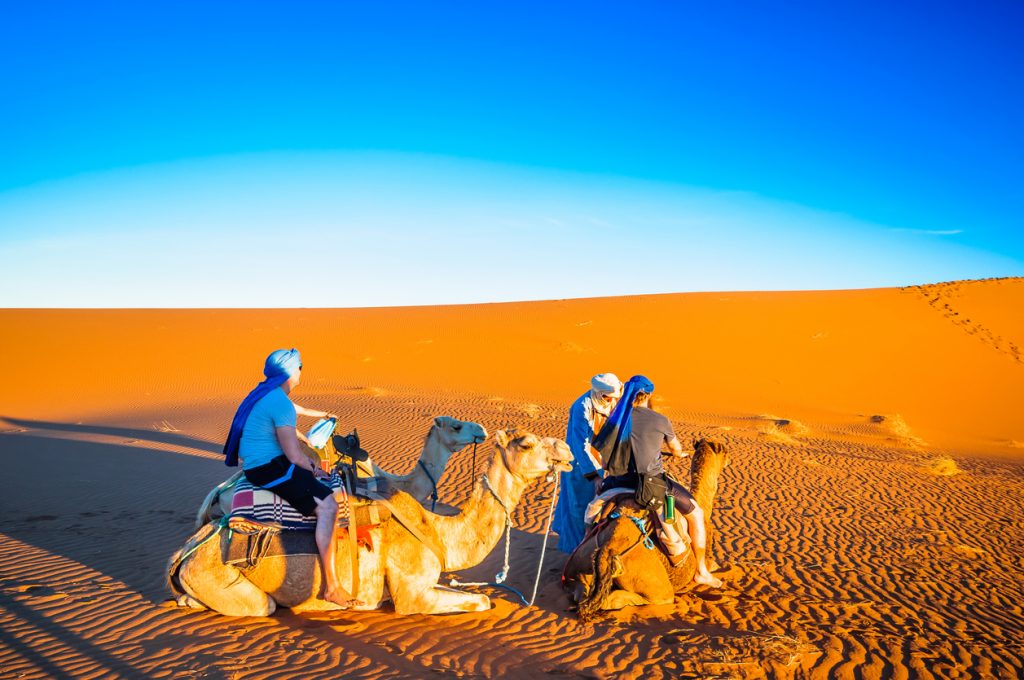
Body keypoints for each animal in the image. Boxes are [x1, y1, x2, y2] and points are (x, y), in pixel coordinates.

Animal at [172, 430, 581, 614]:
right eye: (526, 443)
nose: (567, 450)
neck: (438, 532)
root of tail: (184, 554)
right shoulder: (412, 594)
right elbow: (481, 600)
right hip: (227, 583)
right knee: (262, 607)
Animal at [561, 440, 729, 622]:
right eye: (724, 451)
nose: (728, 457)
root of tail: (609, 546)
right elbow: (712, 565)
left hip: (582, 561)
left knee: (582, 592)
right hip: (655, 585)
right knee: (620, 599)